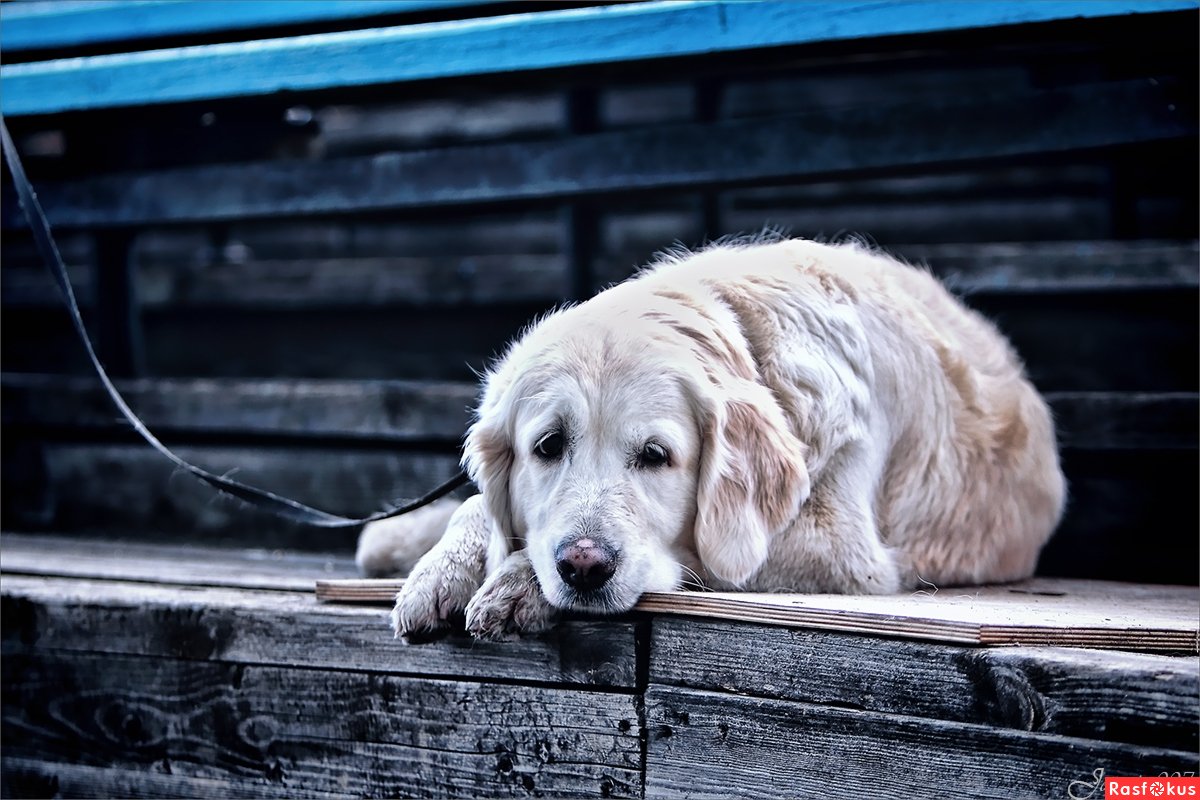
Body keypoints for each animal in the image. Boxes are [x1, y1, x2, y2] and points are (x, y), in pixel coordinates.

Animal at [357, 235, 1070, 642]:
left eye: (656, 456)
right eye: (548, 446)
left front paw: (515, 584)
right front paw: (444, 569)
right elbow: (481, 507)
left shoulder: (843, 551)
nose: (584, 566)